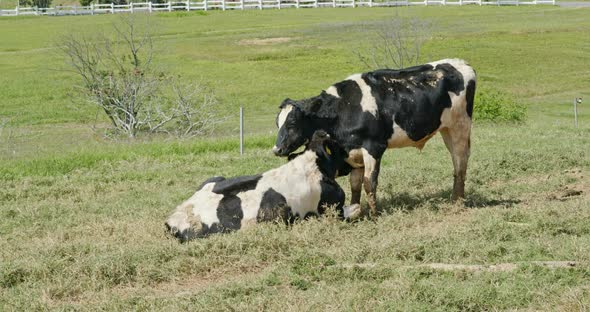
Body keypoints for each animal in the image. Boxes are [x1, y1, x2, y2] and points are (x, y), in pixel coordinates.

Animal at [276, 58, 478, 216]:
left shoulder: (374, 147)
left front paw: (374, 214)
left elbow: (369, 183)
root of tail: (462, 63)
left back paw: (457, 203)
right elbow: (355, 184)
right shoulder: (352, 152)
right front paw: (357, 210)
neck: (343, 108)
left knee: (460, 163)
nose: (276, 149)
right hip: (447, 129)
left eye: (292, 123)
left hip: (460, 126)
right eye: (277, 123)